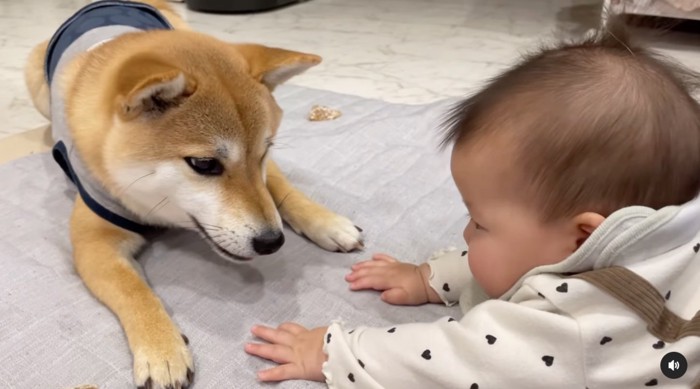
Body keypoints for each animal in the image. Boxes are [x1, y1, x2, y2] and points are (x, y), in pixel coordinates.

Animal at [23, 1, 360, 386]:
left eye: (264, 151)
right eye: (204, 164)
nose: (272, 242)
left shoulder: (266, 171)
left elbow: (281, 189)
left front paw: (327, 222)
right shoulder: (94, 239)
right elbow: (134, 292)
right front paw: (162, 350)